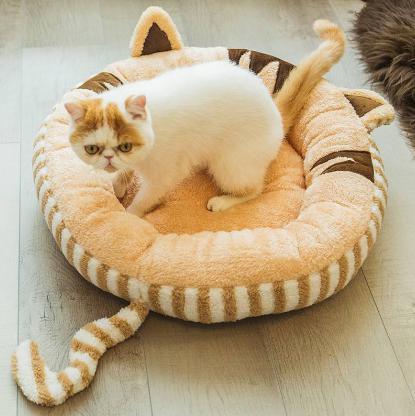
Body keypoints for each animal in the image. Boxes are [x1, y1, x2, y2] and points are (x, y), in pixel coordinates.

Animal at [65, 20, 345, 217]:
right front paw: (119, 183)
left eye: (125, 146)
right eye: (92, 149)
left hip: (229, 165)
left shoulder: (164, 175)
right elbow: (125, 173)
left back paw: (224, 201)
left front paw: (130, 215)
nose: (108, 158)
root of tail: (275, 112)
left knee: (254, 189)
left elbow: (144, 199)